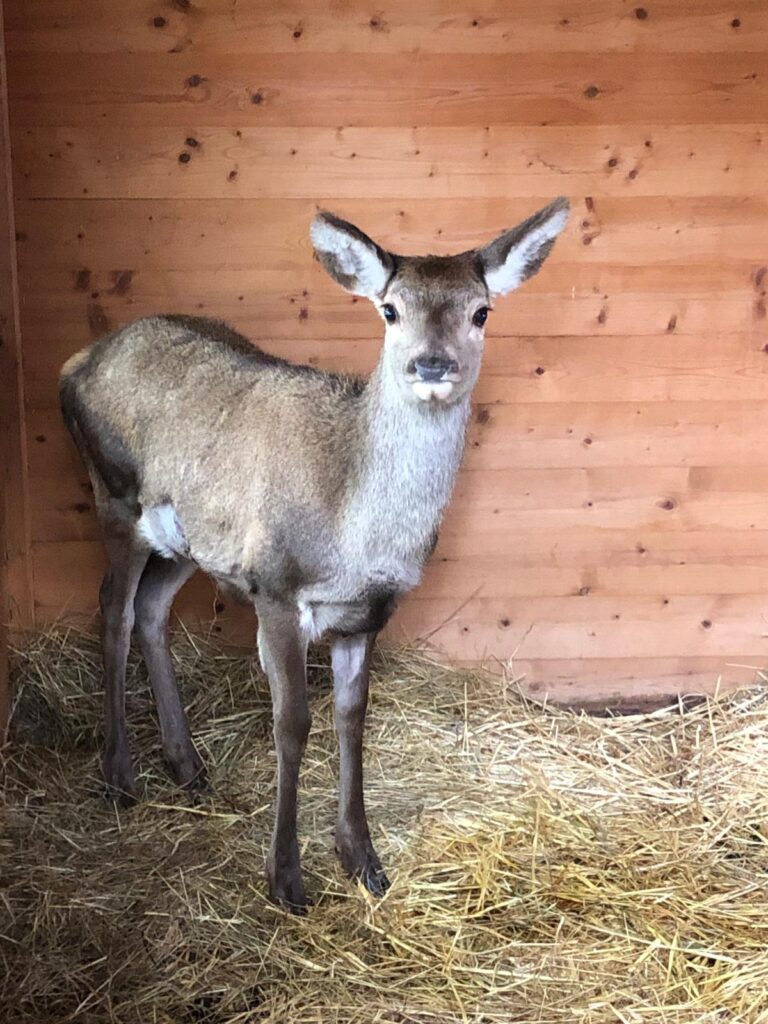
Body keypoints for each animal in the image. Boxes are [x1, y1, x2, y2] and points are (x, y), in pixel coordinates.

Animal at [59, 198, 569, 912]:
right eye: (390, 309)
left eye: (481, 311)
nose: (431, 365)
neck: (356, 538)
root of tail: (77, 362)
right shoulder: (274, 586)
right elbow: (293, 722)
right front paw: (286, 877)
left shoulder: (368, 613)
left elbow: (352, 718)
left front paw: (364, 860)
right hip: (116, 494)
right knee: (114, 608)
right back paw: (120, 777)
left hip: (186, 538)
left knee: (153, 608)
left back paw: (187, 766)